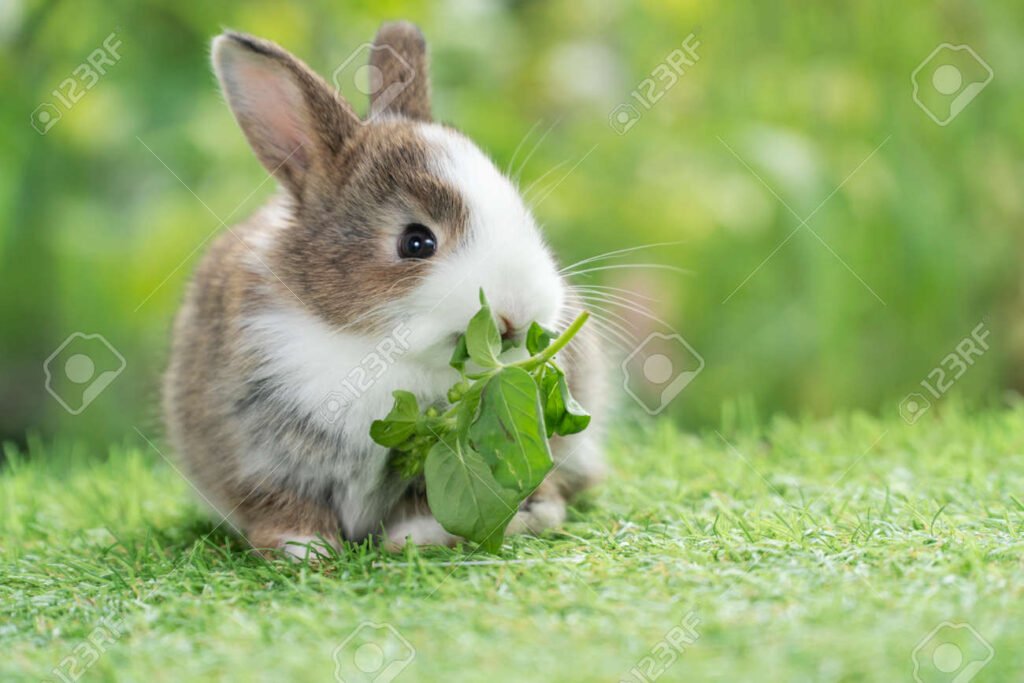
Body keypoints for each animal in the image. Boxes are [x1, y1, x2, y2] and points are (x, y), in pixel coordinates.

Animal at [163, 22, 606, 559]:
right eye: (417, 242)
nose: (520, 312)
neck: (376, 347)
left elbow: (431, 497)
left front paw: (416, 537)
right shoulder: (259, 456)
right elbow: (283, 503)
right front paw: (304, 549)